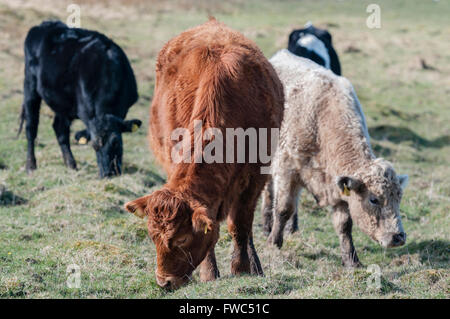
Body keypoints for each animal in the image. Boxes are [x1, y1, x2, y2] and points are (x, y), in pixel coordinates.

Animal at [19, 21, 141, 179]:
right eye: (94, 146)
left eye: (116, 143)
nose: (108, 174)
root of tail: (44, 24)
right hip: (30, 86)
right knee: (31, 127)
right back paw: (31, 166)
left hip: (63, 101)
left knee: (60, 129)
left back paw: (71, 164)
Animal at [123, 18, 284, 292]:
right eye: (152, 236)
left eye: (182, 239)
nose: (164, 282)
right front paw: (210, 273)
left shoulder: (255, 175)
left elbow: (240, 225)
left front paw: (242, 269)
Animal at [262, 50, 410, 268]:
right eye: (374, 199)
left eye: (399, 197)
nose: (398, 237)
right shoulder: (287, 169)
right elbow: (283, 209)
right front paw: (273, 243)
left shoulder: (338, 188)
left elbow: (344, 225)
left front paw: (351, 260)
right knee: (268, 193)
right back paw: (266, 227)